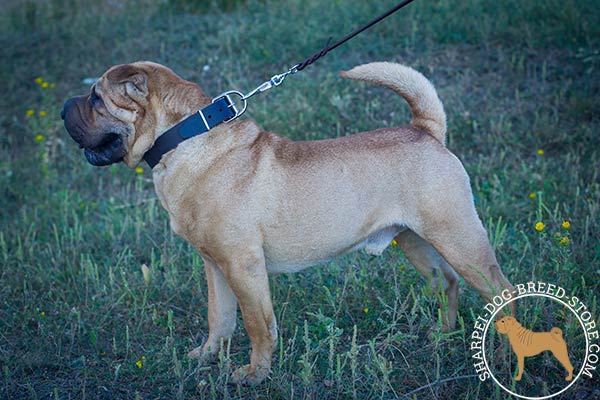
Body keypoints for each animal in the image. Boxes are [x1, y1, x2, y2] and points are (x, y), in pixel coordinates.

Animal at [62, 60, 516, 384]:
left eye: (96, 98)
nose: (65, 107)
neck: (185, 141)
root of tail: (425, 130)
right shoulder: (215, 266)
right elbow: (219, 317)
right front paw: (207, 357)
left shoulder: (243, 266)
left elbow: (257, 324)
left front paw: (254, 374)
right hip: (414, 241)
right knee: (446, 282)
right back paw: (443, 335)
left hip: (459, 240)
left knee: (501, 292)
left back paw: (507, 354)